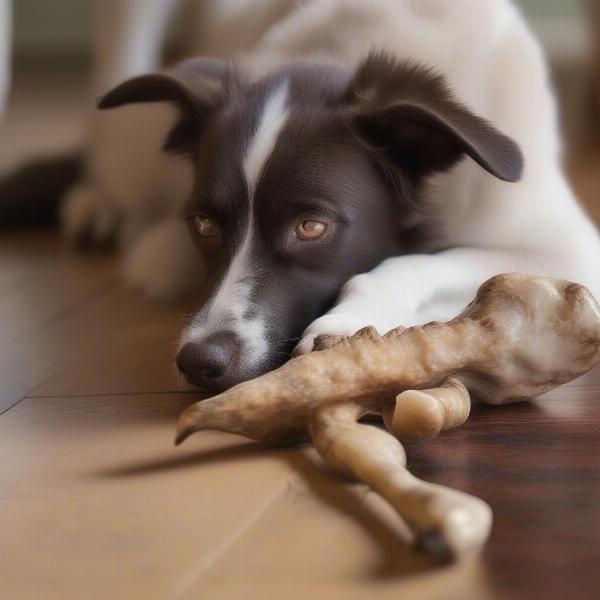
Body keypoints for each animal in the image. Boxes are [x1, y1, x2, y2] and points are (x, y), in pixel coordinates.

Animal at [3, 0, 600, 394]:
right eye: (203, 223)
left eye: (312, 227)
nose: (200, 363)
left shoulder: (567, 250)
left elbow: (417, 262)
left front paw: (351, 318)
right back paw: (100, 203)